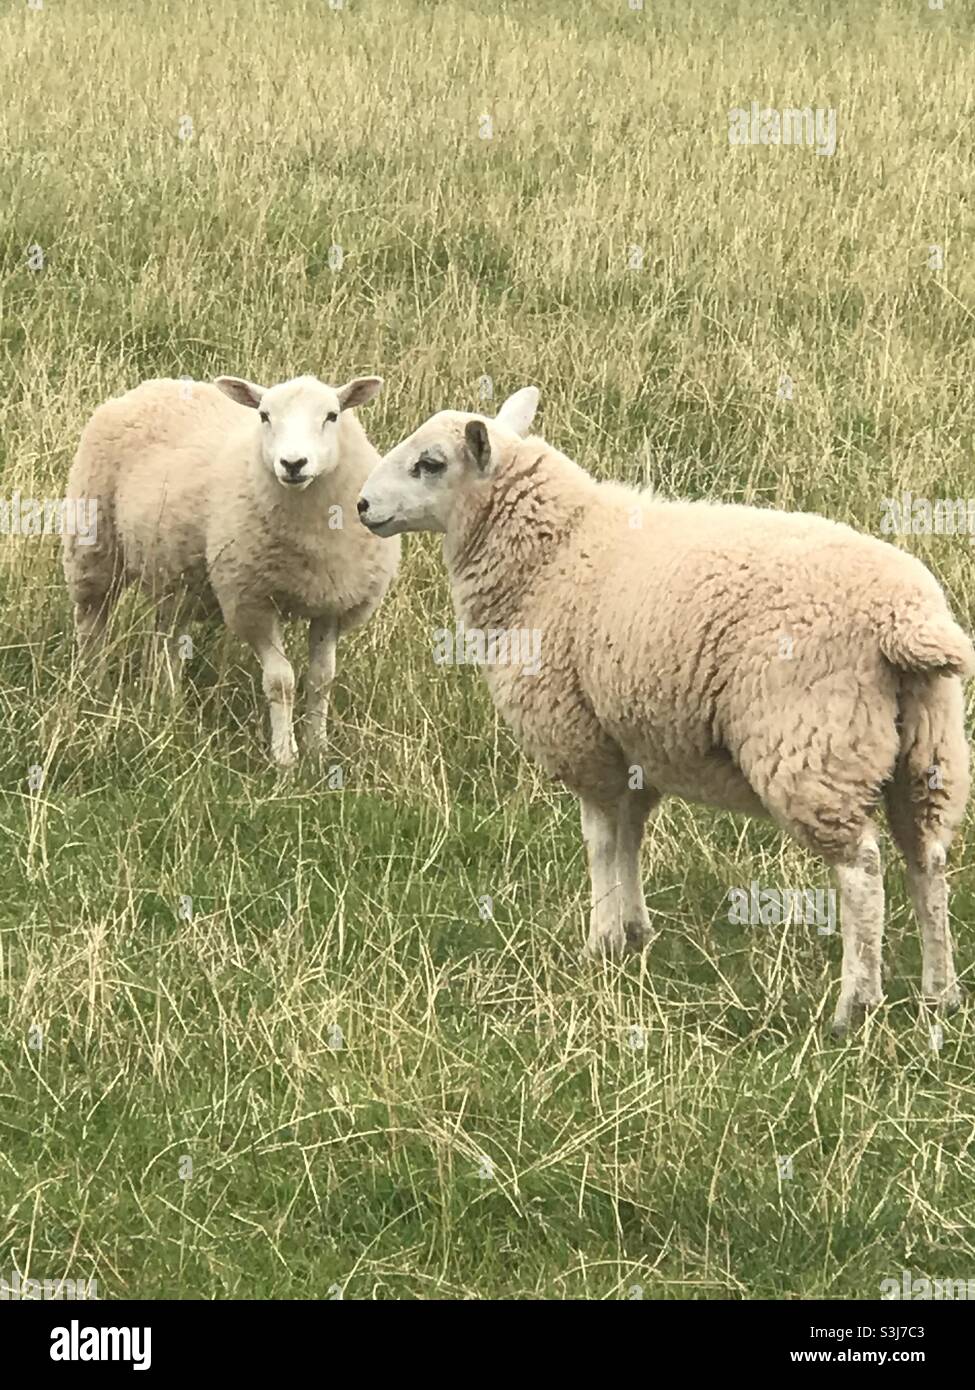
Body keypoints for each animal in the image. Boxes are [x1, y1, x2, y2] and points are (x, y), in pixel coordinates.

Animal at [63, 373, 400, 765]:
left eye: (332, 415)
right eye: (264, 415)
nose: (293, 463)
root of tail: (149, 386)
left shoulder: (333, 603)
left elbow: (321, 679)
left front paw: (317, 749)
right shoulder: (252, 601)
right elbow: (281, 682)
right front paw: (285, 757)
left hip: (174, 573)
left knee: (167, 637)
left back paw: (166, 701)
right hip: (93, 544)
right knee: (92, 624)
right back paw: (93, 687)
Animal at [357, 388, 974, 1034]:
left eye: (429, 463)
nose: (361, 505)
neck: (552, 552)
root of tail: (903, 617)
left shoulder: (581, 736)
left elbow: (601, 841)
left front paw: (600, 941)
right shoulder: (634, 743)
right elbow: (631, 836)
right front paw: (634, 932)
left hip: (814, 745)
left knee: (862, 874)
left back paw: (855, 1004)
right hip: (927, 751)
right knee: (926, 862)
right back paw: (940, 993)